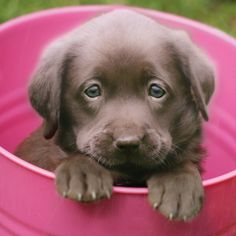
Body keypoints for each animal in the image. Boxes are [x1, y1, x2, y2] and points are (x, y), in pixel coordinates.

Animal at [14, 9, 215, 222]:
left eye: (156, 90)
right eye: (92, 91)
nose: (128, 142)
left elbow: (179, 159)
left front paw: (179, 184)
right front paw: (83, 173)